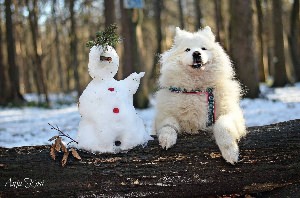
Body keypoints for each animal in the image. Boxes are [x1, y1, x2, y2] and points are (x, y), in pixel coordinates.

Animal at [155, 26, 246, 164]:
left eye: (203, 48)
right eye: (188, 49)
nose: (196, 53)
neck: (197, 90)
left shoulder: (231, 114)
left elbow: (222, 127)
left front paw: (231, 152)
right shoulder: (164, 116)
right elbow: (168, 125)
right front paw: (166, 139)